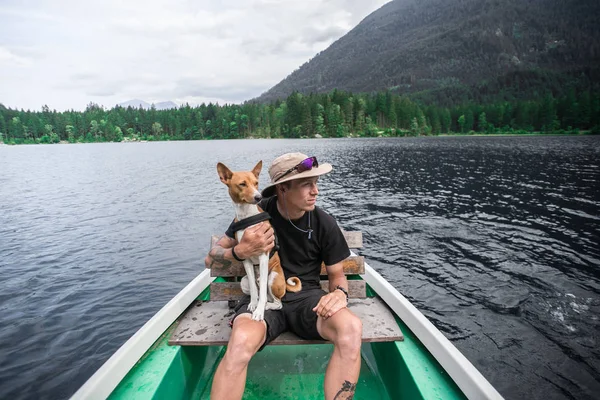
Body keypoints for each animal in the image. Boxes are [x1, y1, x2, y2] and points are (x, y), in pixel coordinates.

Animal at [217, 161, 302, 320]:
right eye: (242, 184)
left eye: (256, 183)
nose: (259, 197)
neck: (247, 217)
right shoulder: (245, 259)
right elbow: (254, 289)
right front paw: (253, 304)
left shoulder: (263, 255)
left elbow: (261, 291)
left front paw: (259, 311)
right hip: (244, 282)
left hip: (273, 278)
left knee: (277, 302)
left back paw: (267, 305)